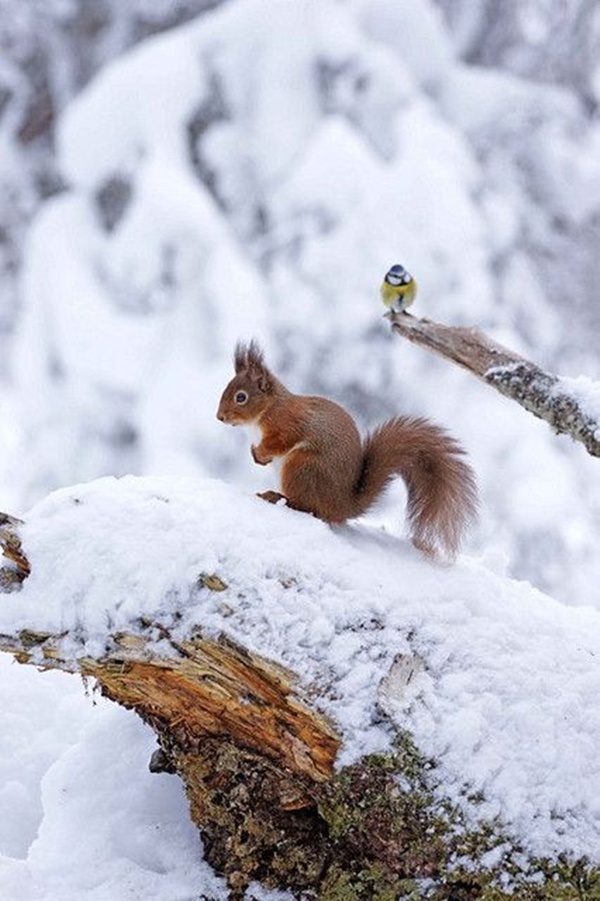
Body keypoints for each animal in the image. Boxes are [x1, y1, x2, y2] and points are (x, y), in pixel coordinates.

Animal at [217, 342, 478, 560]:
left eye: (241, 397)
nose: (219, 417)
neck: (267, 410)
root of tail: (343, 506)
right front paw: (255, 455)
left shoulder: (288, 424)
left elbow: (280, 442)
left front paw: (261, 454)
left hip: (302, 467)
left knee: (309, 509)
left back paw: (277, 497)